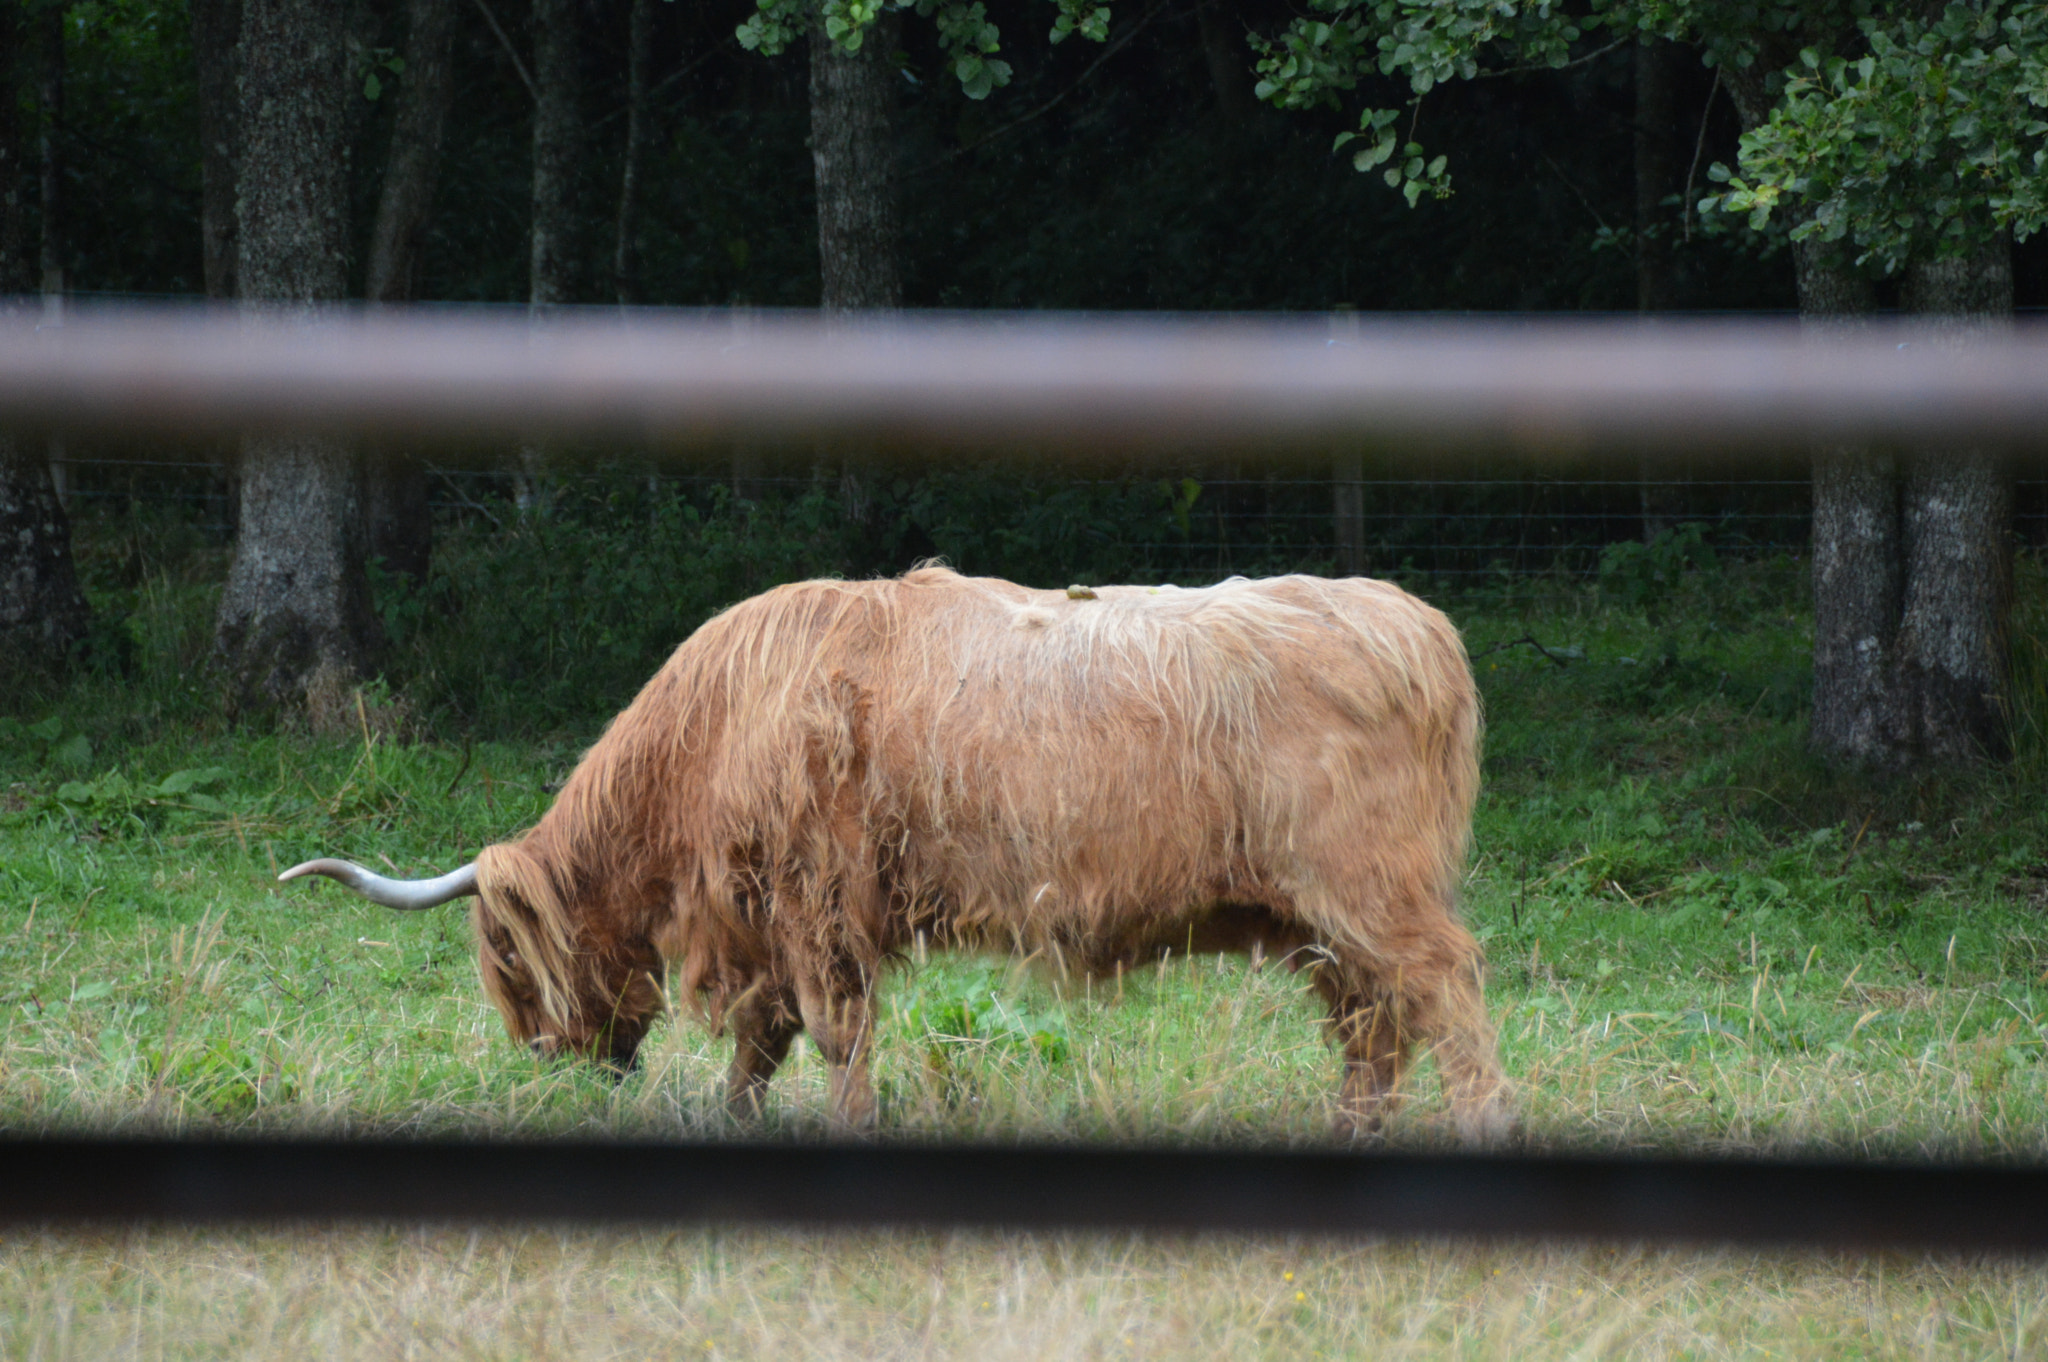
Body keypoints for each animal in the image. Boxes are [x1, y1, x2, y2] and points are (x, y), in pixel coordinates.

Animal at [282, 566, 1513, 1143]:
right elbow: (763, 1042)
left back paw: (1480, 1123)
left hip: (1370, 893)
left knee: (1443, 995)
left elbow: (830, 1035)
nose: (554, 1065)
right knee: (1371, 1029)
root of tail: (1416, 624)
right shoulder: (775, 921)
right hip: (1315, 919)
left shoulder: (816, 905)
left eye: (506, 963)